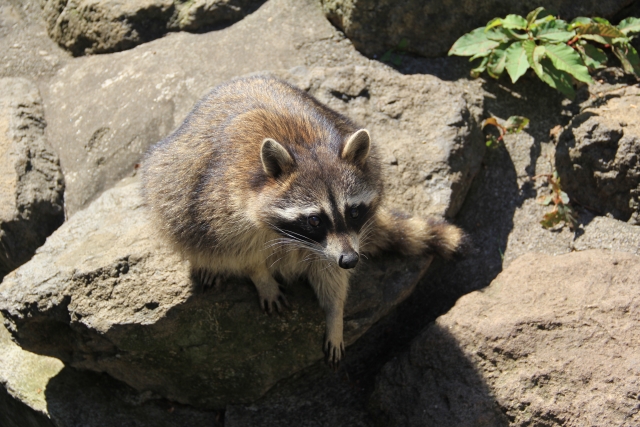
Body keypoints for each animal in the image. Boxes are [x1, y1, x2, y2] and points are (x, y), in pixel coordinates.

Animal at [140, 74, 462, 368]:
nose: (350, 260)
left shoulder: (337, 243)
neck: (305, 146)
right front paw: (260, 276)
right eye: (314, 220)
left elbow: (330, 273)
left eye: (353, 212)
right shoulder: (221, 206)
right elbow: (240, 251)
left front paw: (335, 316)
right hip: (171, 181)